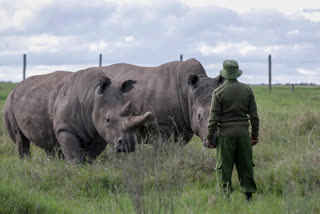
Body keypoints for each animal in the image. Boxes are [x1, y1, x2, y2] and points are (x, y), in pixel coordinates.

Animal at [2, 68, 152, 164]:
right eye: (108, 119)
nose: (129, 145)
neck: (92, 96)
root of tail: (15, 87)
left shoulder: (98, 132)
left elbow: (91, 155)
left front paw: (87, 168)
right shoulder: (65, 128)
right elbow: (73, 154)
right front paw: (77, 169)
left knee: (48, 141)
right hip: (9, 103)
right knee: (20, 139)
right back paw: (26, 163)